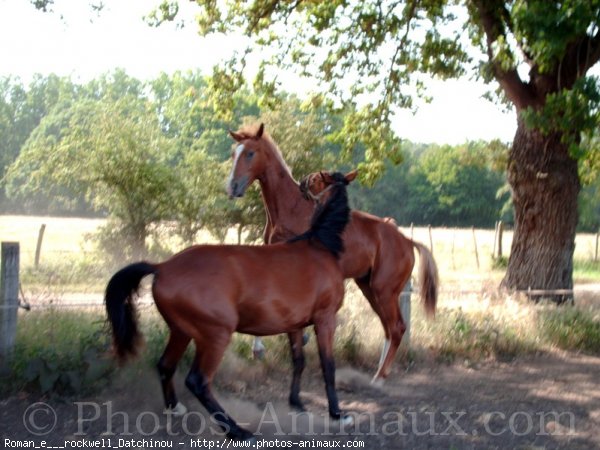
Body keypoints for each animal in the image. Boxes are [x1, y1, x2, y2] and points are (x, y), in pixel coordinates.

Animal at [227, 123, 438, 384]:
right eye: (234, 153)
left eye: (250, 153)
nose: (233, 187)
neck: (289, 209)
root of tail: (407, 242)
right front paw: (260, 348)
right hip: (369, 287)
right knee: (389, 329)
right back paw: (379, 373)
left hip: (384, 290)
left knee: (397, 327)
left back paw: (379, 377)